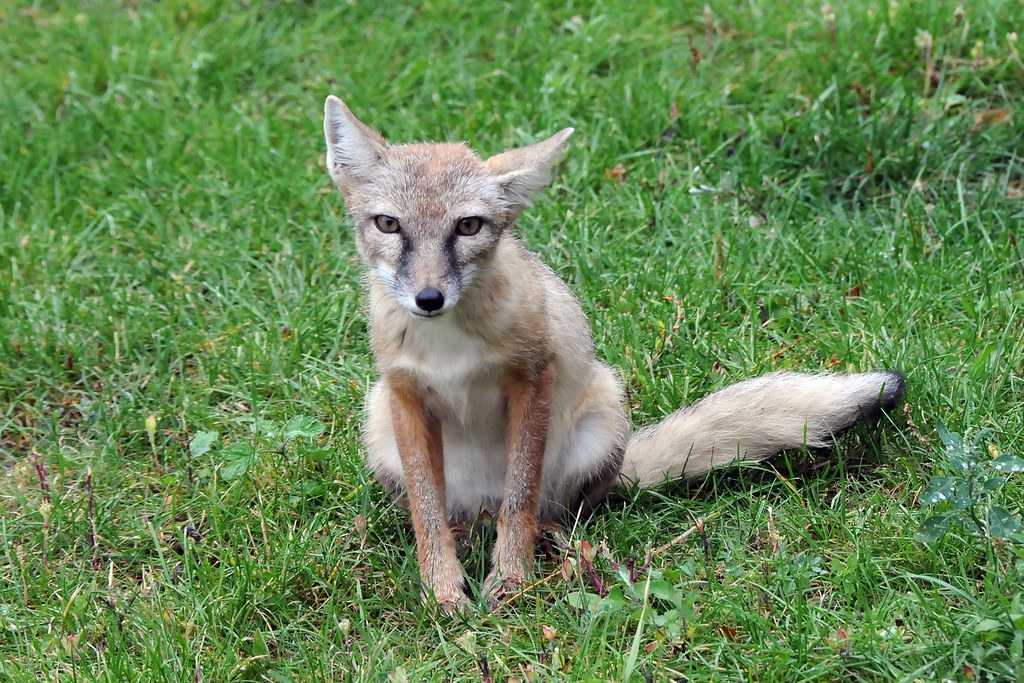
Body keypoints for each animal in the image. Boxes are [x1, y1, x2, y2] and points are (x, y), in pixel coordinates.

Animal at [321, 95, 906, 613]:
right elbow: (427, 515)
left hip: (601, 412)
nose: (429, 298)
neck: (449, 347)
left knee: (548, 511)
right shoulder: (405, 393)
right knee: (453, 516)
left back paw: (551, 543)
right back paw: (469, 538)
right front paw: (443, 592)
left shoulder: (533, 376)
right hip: (378, 417)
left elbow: (520, 497)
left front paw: (510, 582)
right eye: (389, 224)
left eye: (467, 226)